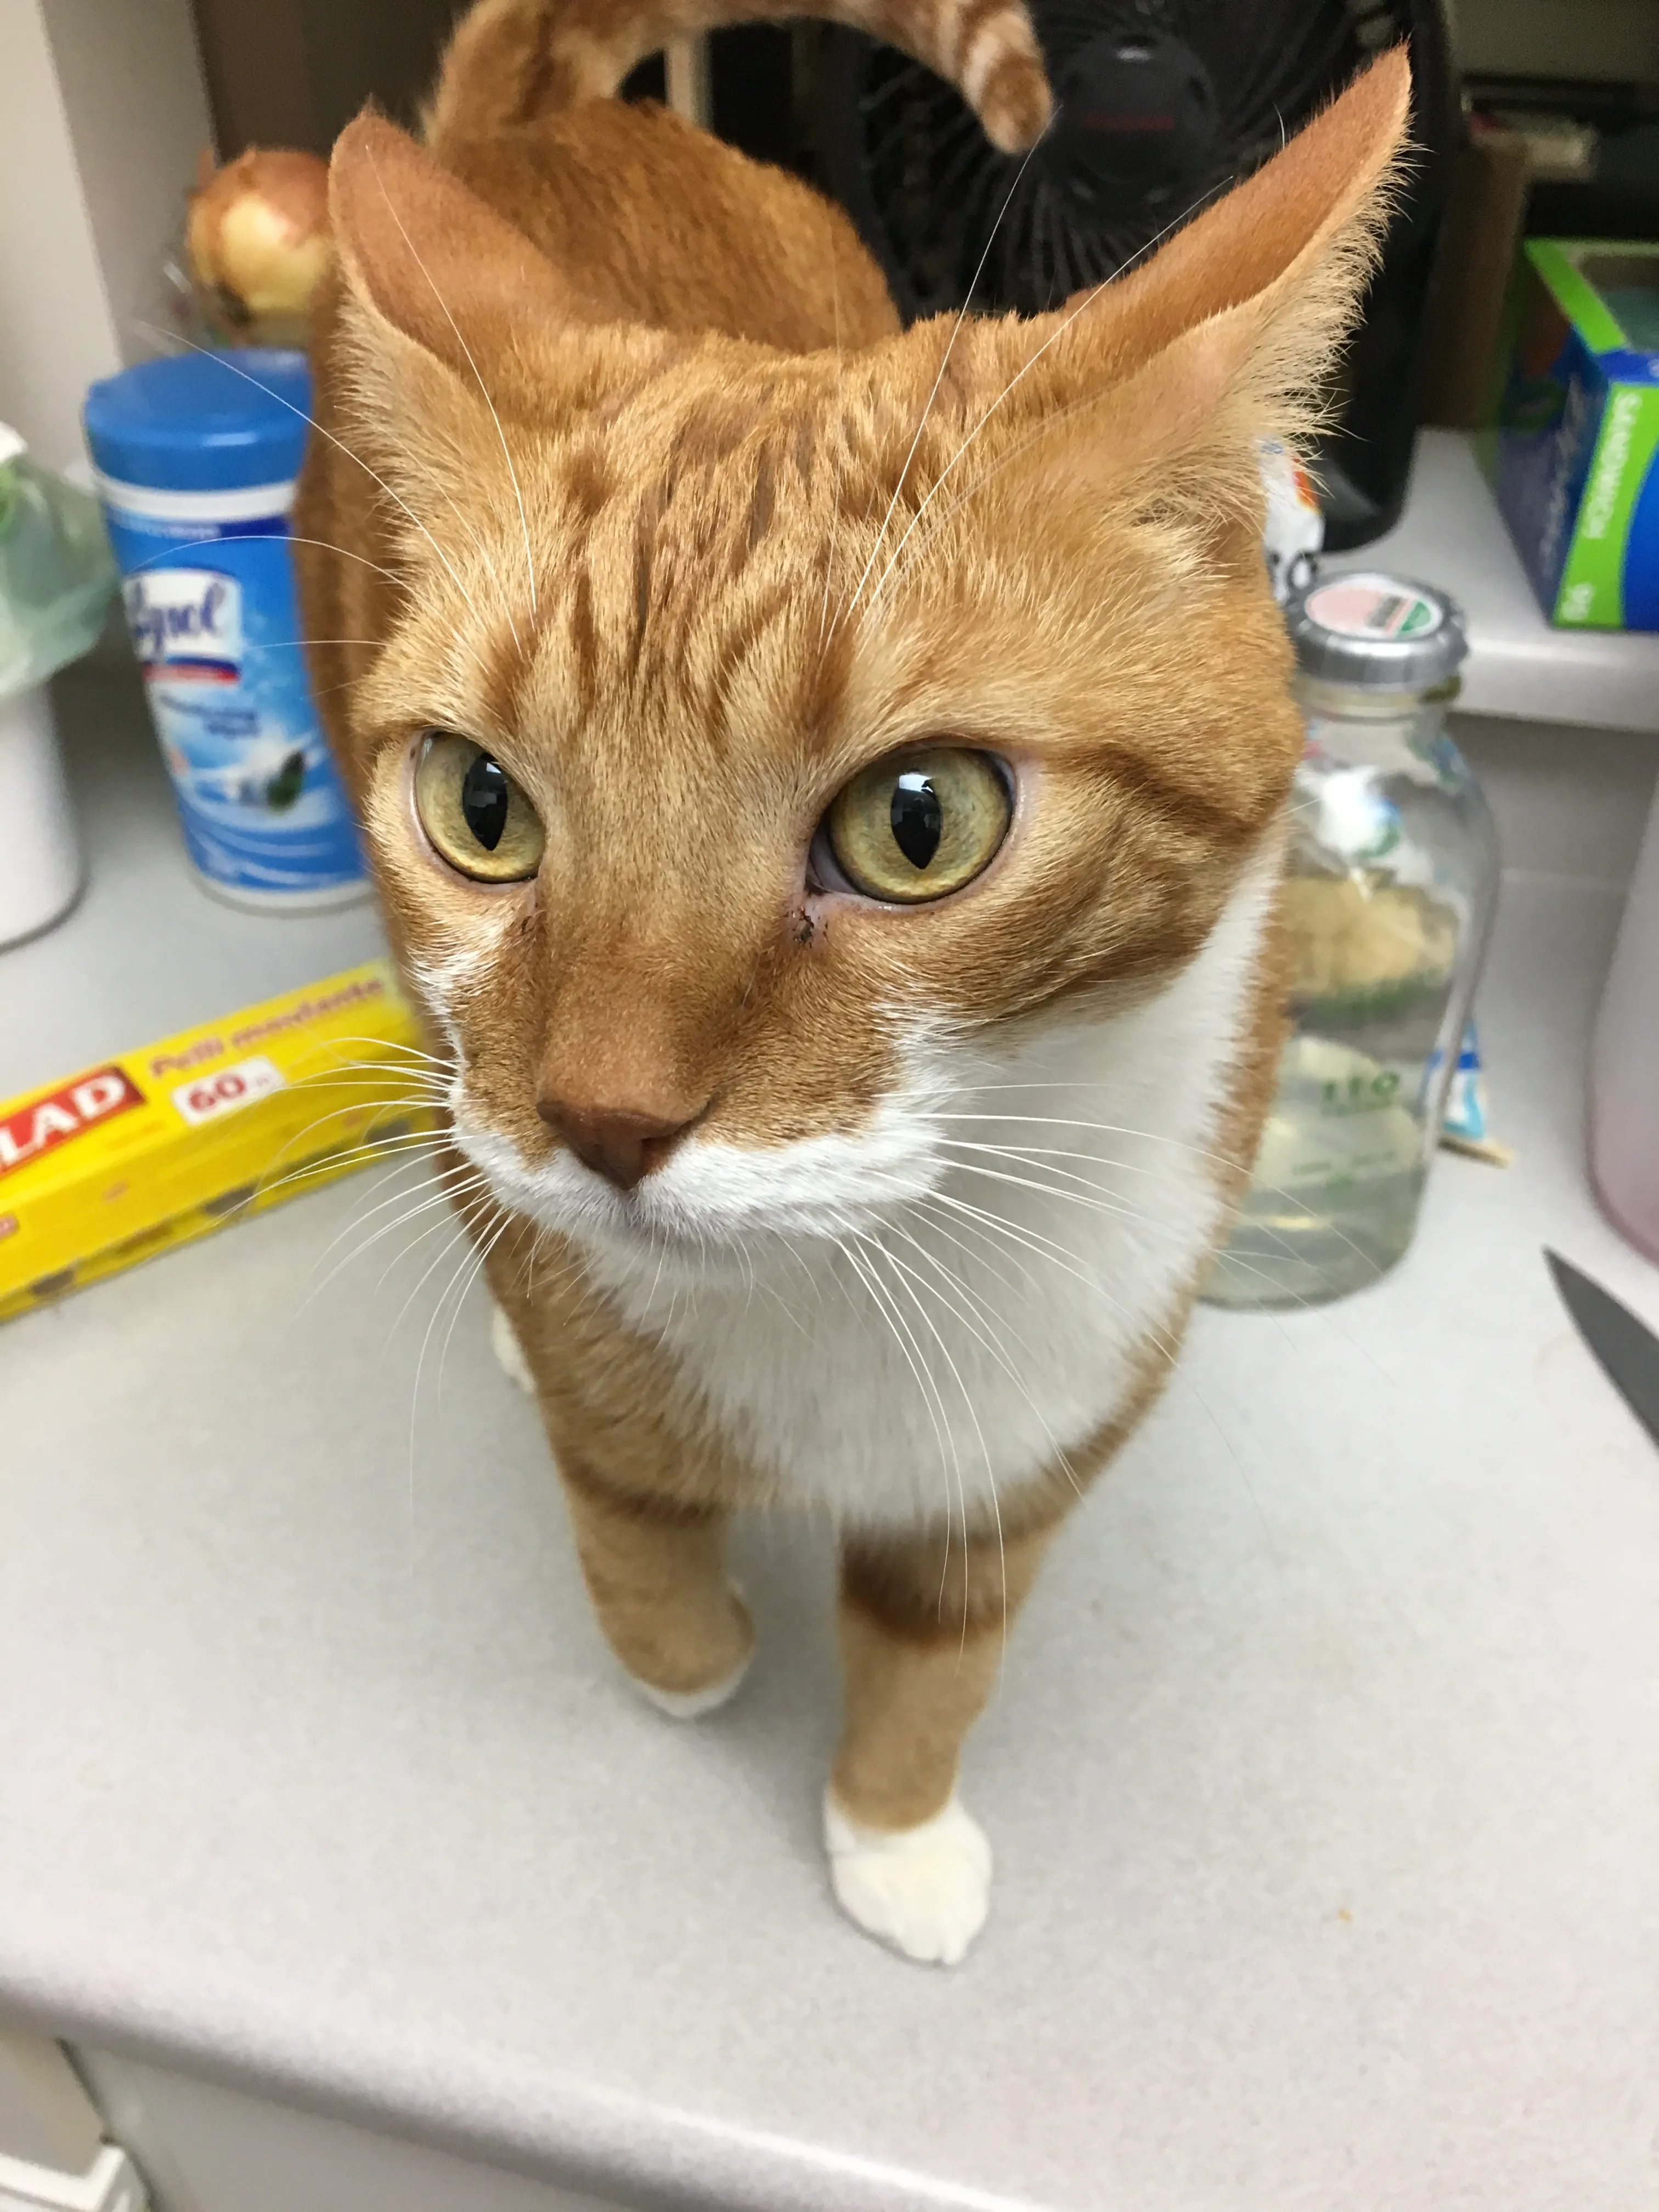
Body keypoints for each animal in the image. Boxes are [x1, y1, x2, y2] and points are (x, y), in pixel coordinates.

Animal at [292, 4, 1407, 1973]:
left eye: (919, 823)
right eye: (484, 807)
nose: (601, 1119)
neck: (859, 1284)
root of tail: (543, 128)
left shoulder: (1029, 1459)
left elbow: (934, 1664)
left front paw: (891, 1836)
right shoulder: (594, 1384)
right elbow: (632, 1526)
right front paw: (690, 1671)